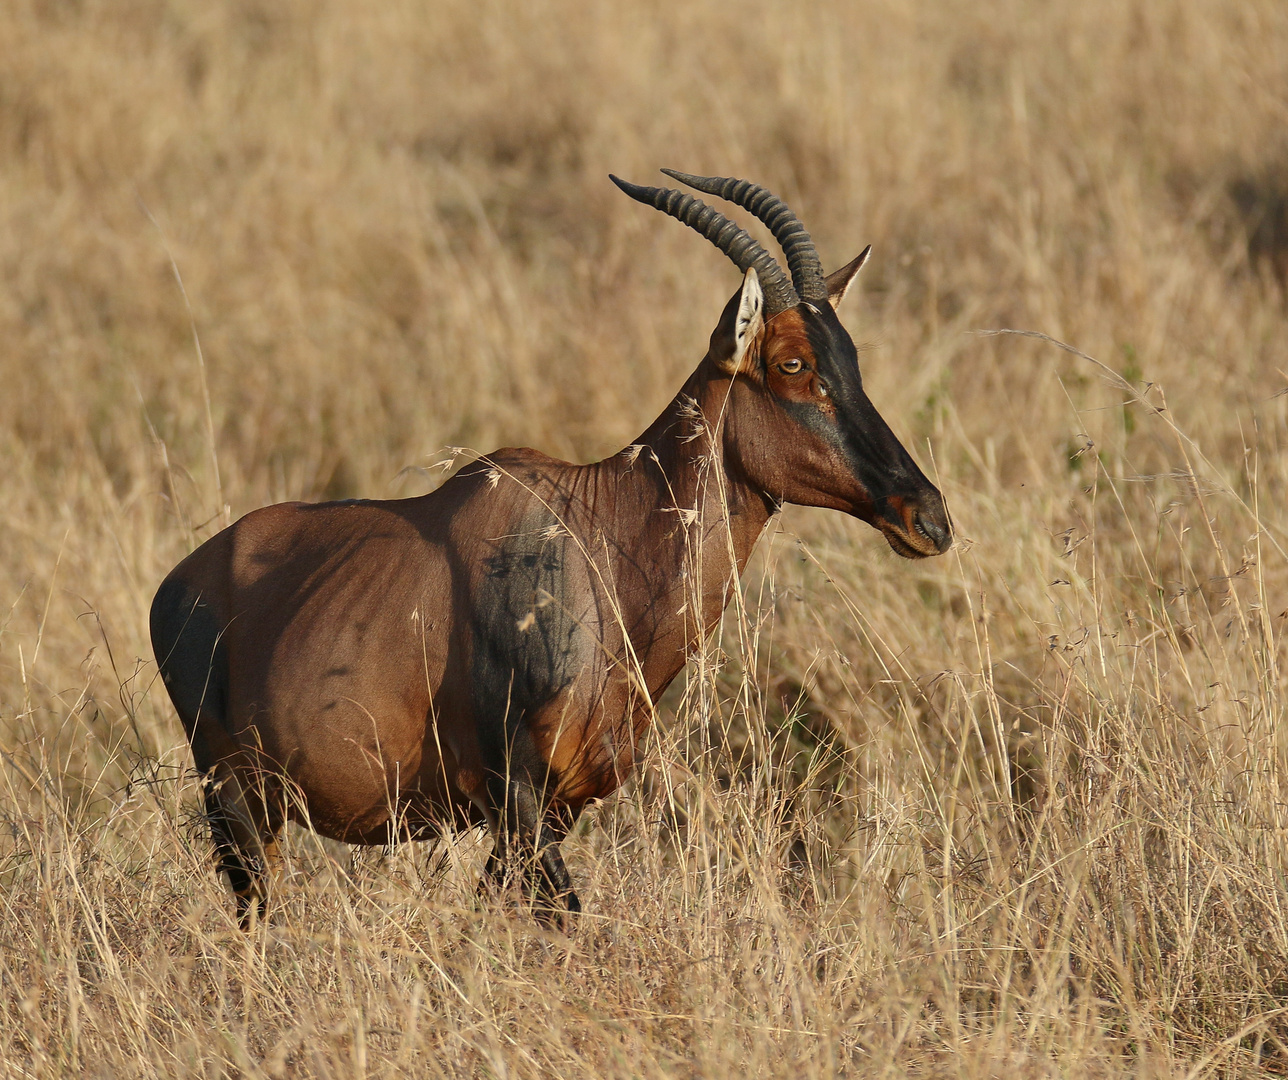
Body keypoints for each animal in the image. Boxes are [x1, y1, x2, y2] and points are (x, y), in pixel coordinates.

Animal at [153, 171, 958, 926]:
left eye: (849, 357)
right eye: (791, 363)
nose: (927, 517)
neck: (598, 528)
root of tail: (178, 582)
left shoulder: (557, 807)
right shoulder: (519, 798)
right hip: (233, 800)